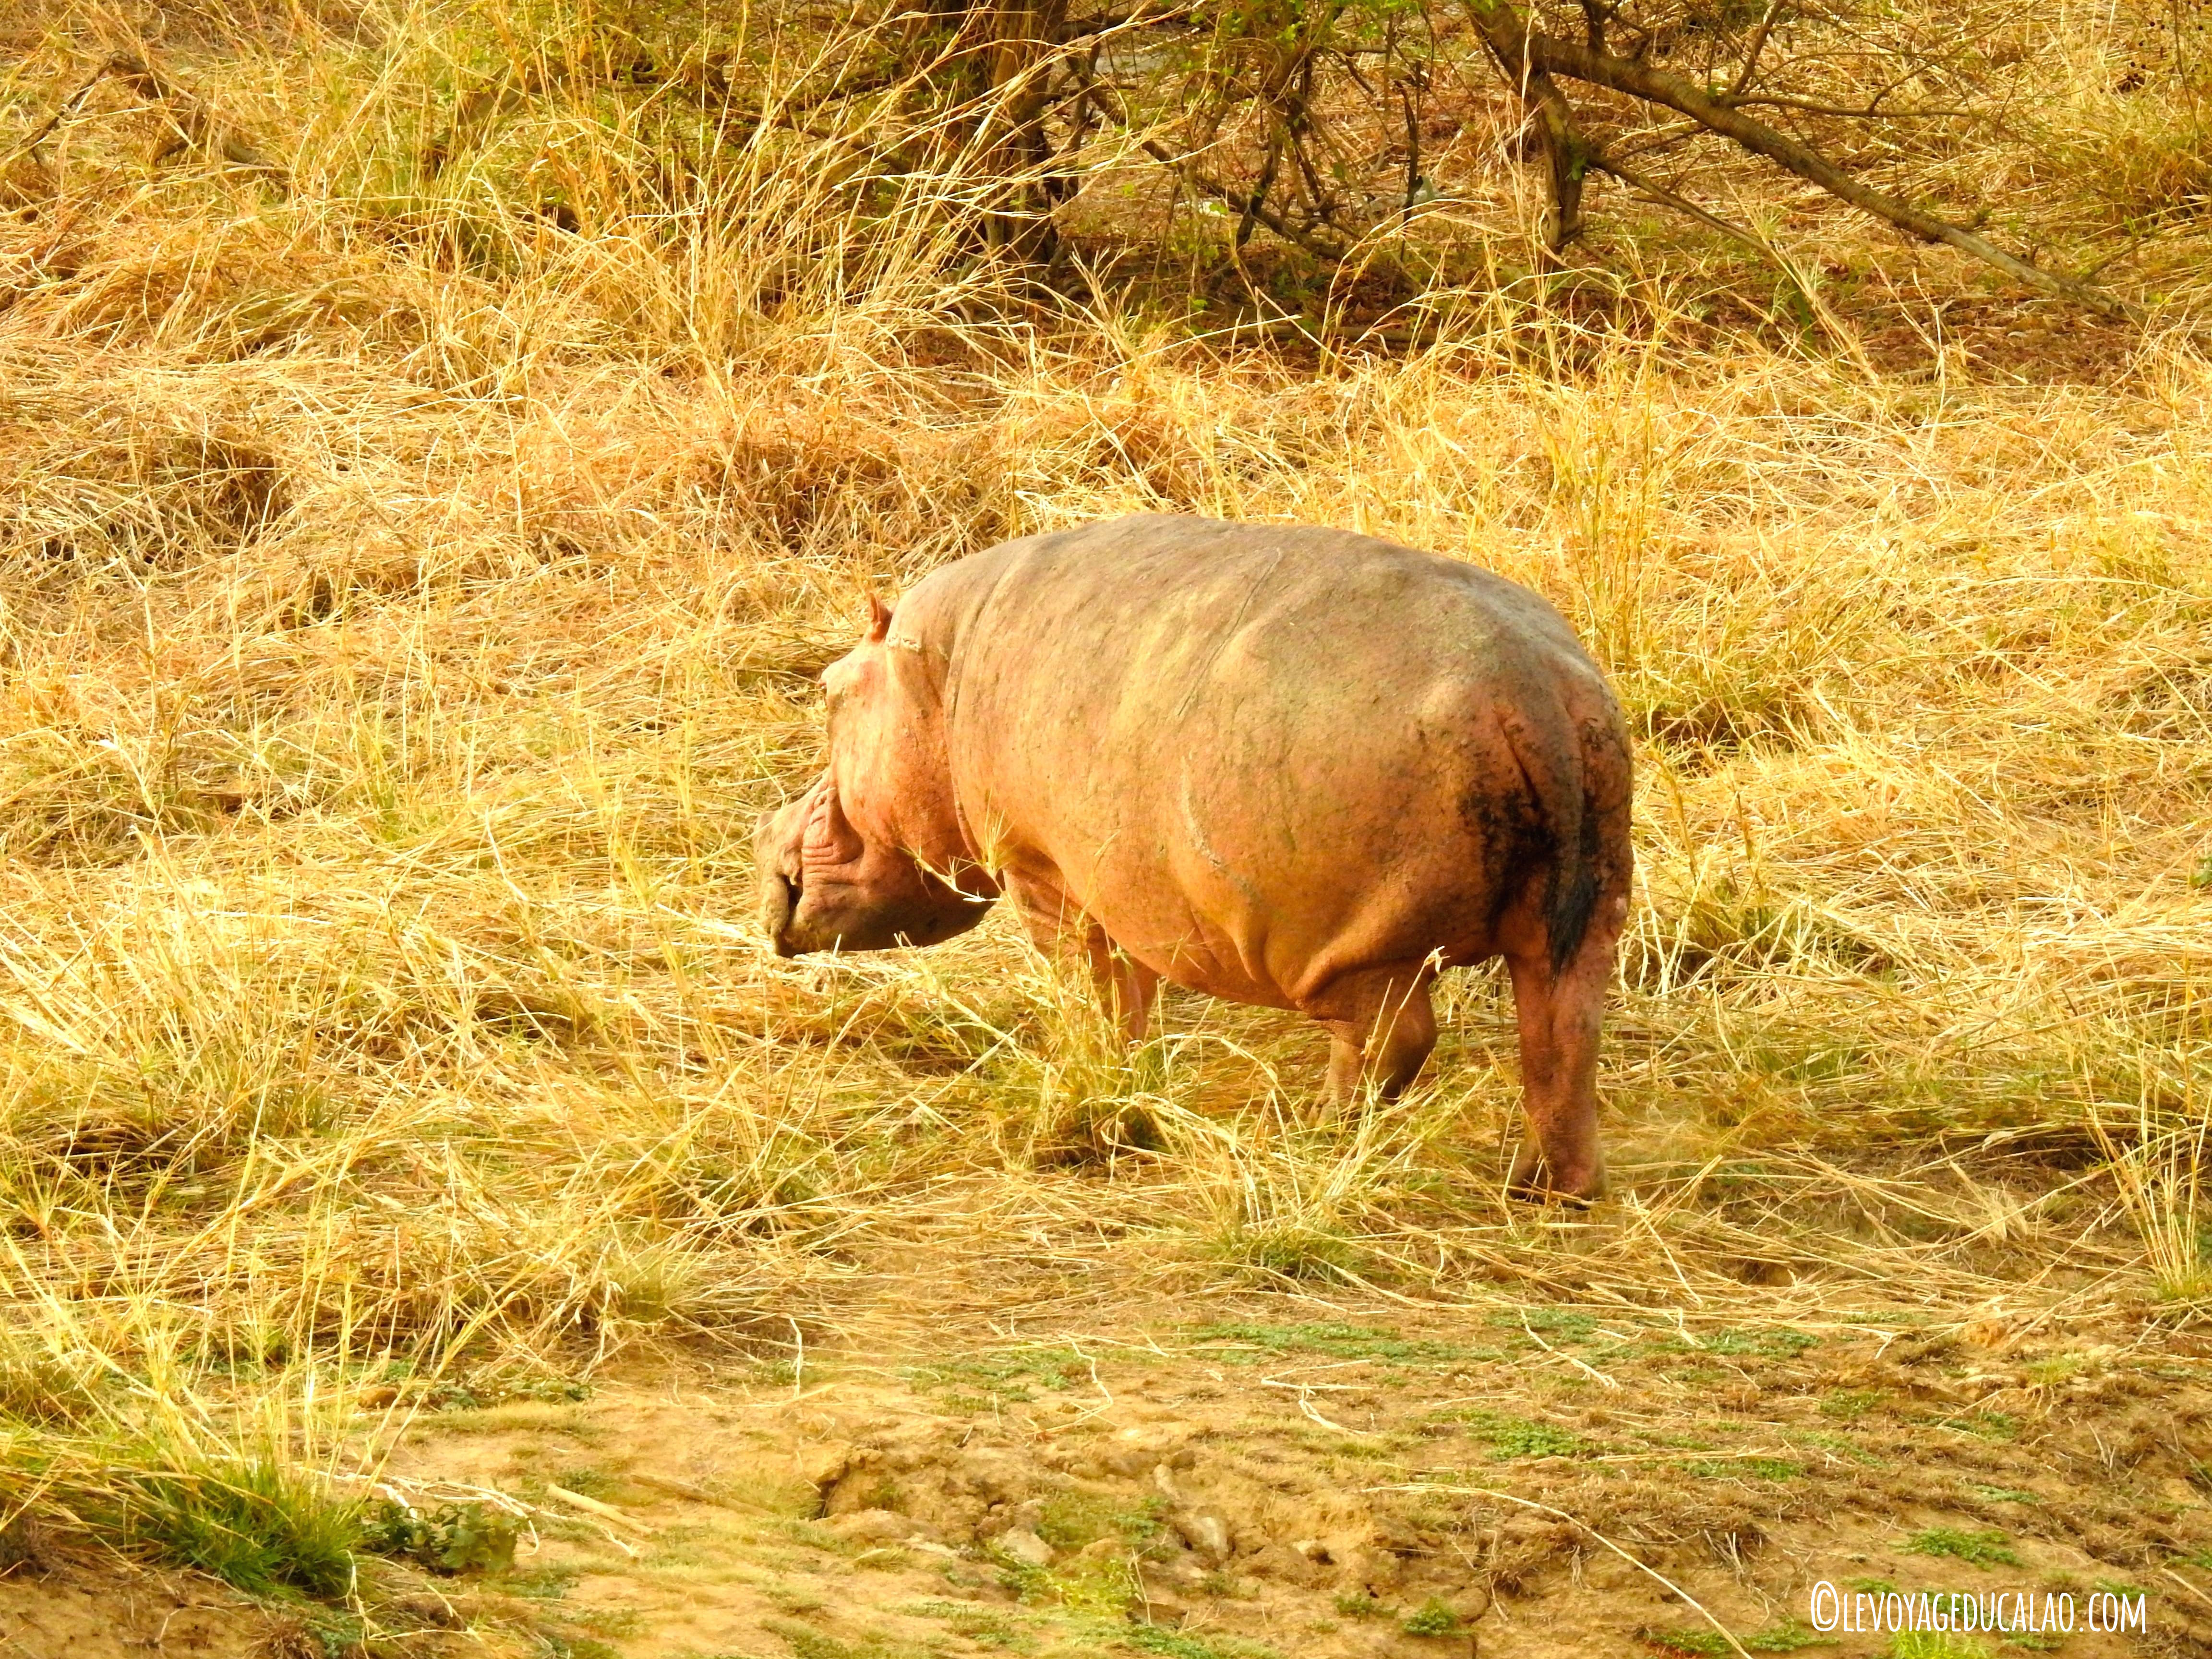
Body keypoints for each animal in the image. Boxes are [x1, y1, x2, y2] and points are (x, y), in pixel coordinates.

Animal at [754, 515, 1632, 1200]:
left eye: (828, 689)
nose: (767, 832)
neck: (933, 670)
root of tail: (1532, 694)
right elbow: (1126, 989)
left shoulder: (1043, 871)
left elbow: (1092, 992)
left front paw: (1091, 1089)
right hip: (1583, 920)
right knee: (1561, 1043)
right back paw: (1550, 1191)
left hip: (1361, 946)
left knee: (1393, 1041)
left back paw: (1311, 1135)